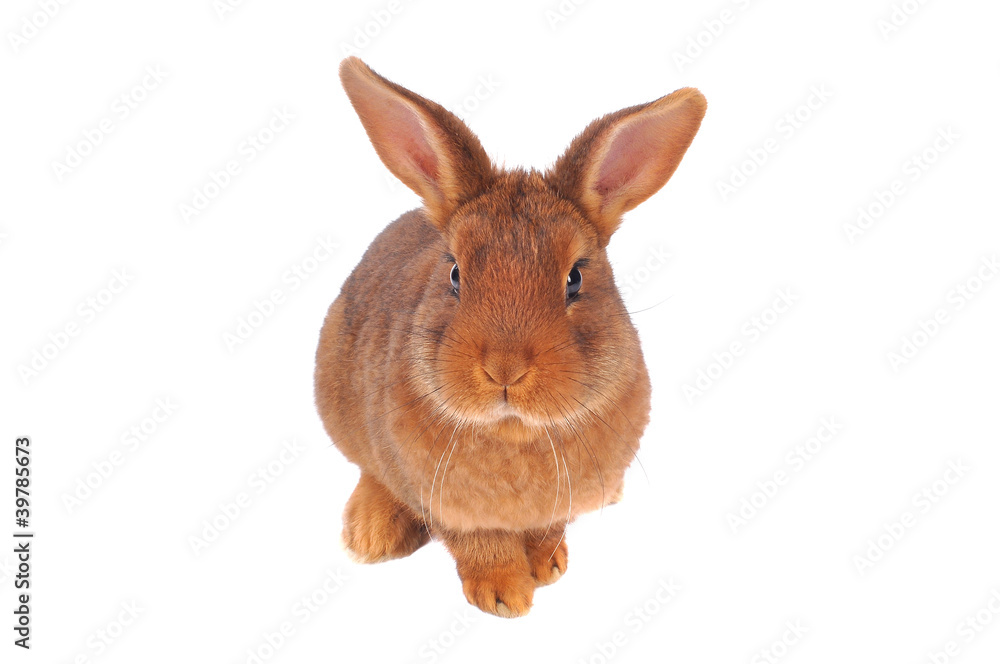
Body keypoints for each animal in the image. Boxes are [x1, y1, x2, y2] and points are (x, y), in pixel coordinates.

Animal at [315, 57, 706, 618]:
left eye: (575, 278)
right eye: (455, 273)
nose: (505, 368)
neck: (514, 430)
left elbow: (547, 530)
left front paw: (548, 567)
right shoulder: (449, 507)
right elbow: (482, 546)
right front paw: (506, 596)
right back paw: (372, 534)